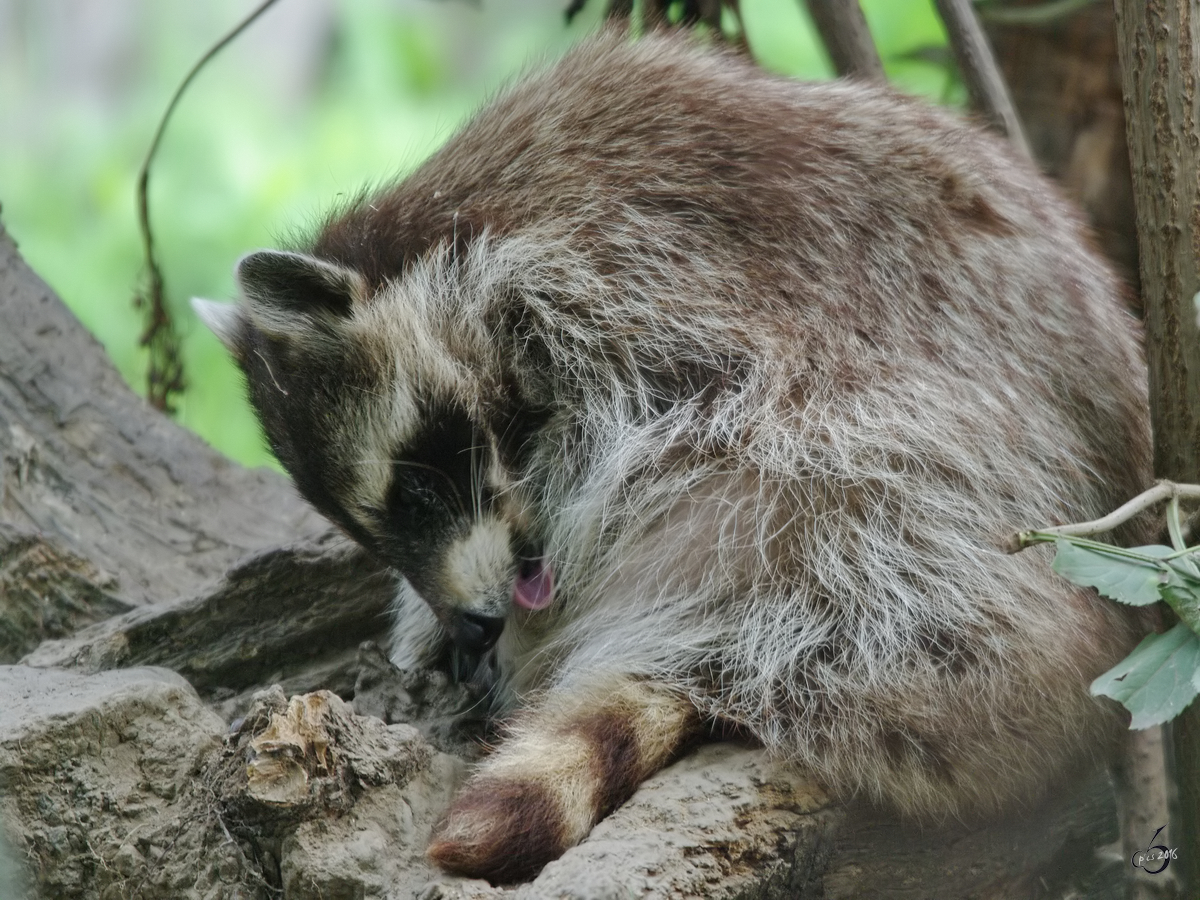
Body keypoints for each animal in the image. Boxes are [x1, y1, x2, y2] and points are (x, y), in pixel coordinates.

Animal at [194, 26, 1152, 883]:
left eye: (418, 490)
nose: (474, 620)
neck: (460, 229)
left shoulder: (650, 269)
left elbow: (672, 432)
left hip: (951, 460)